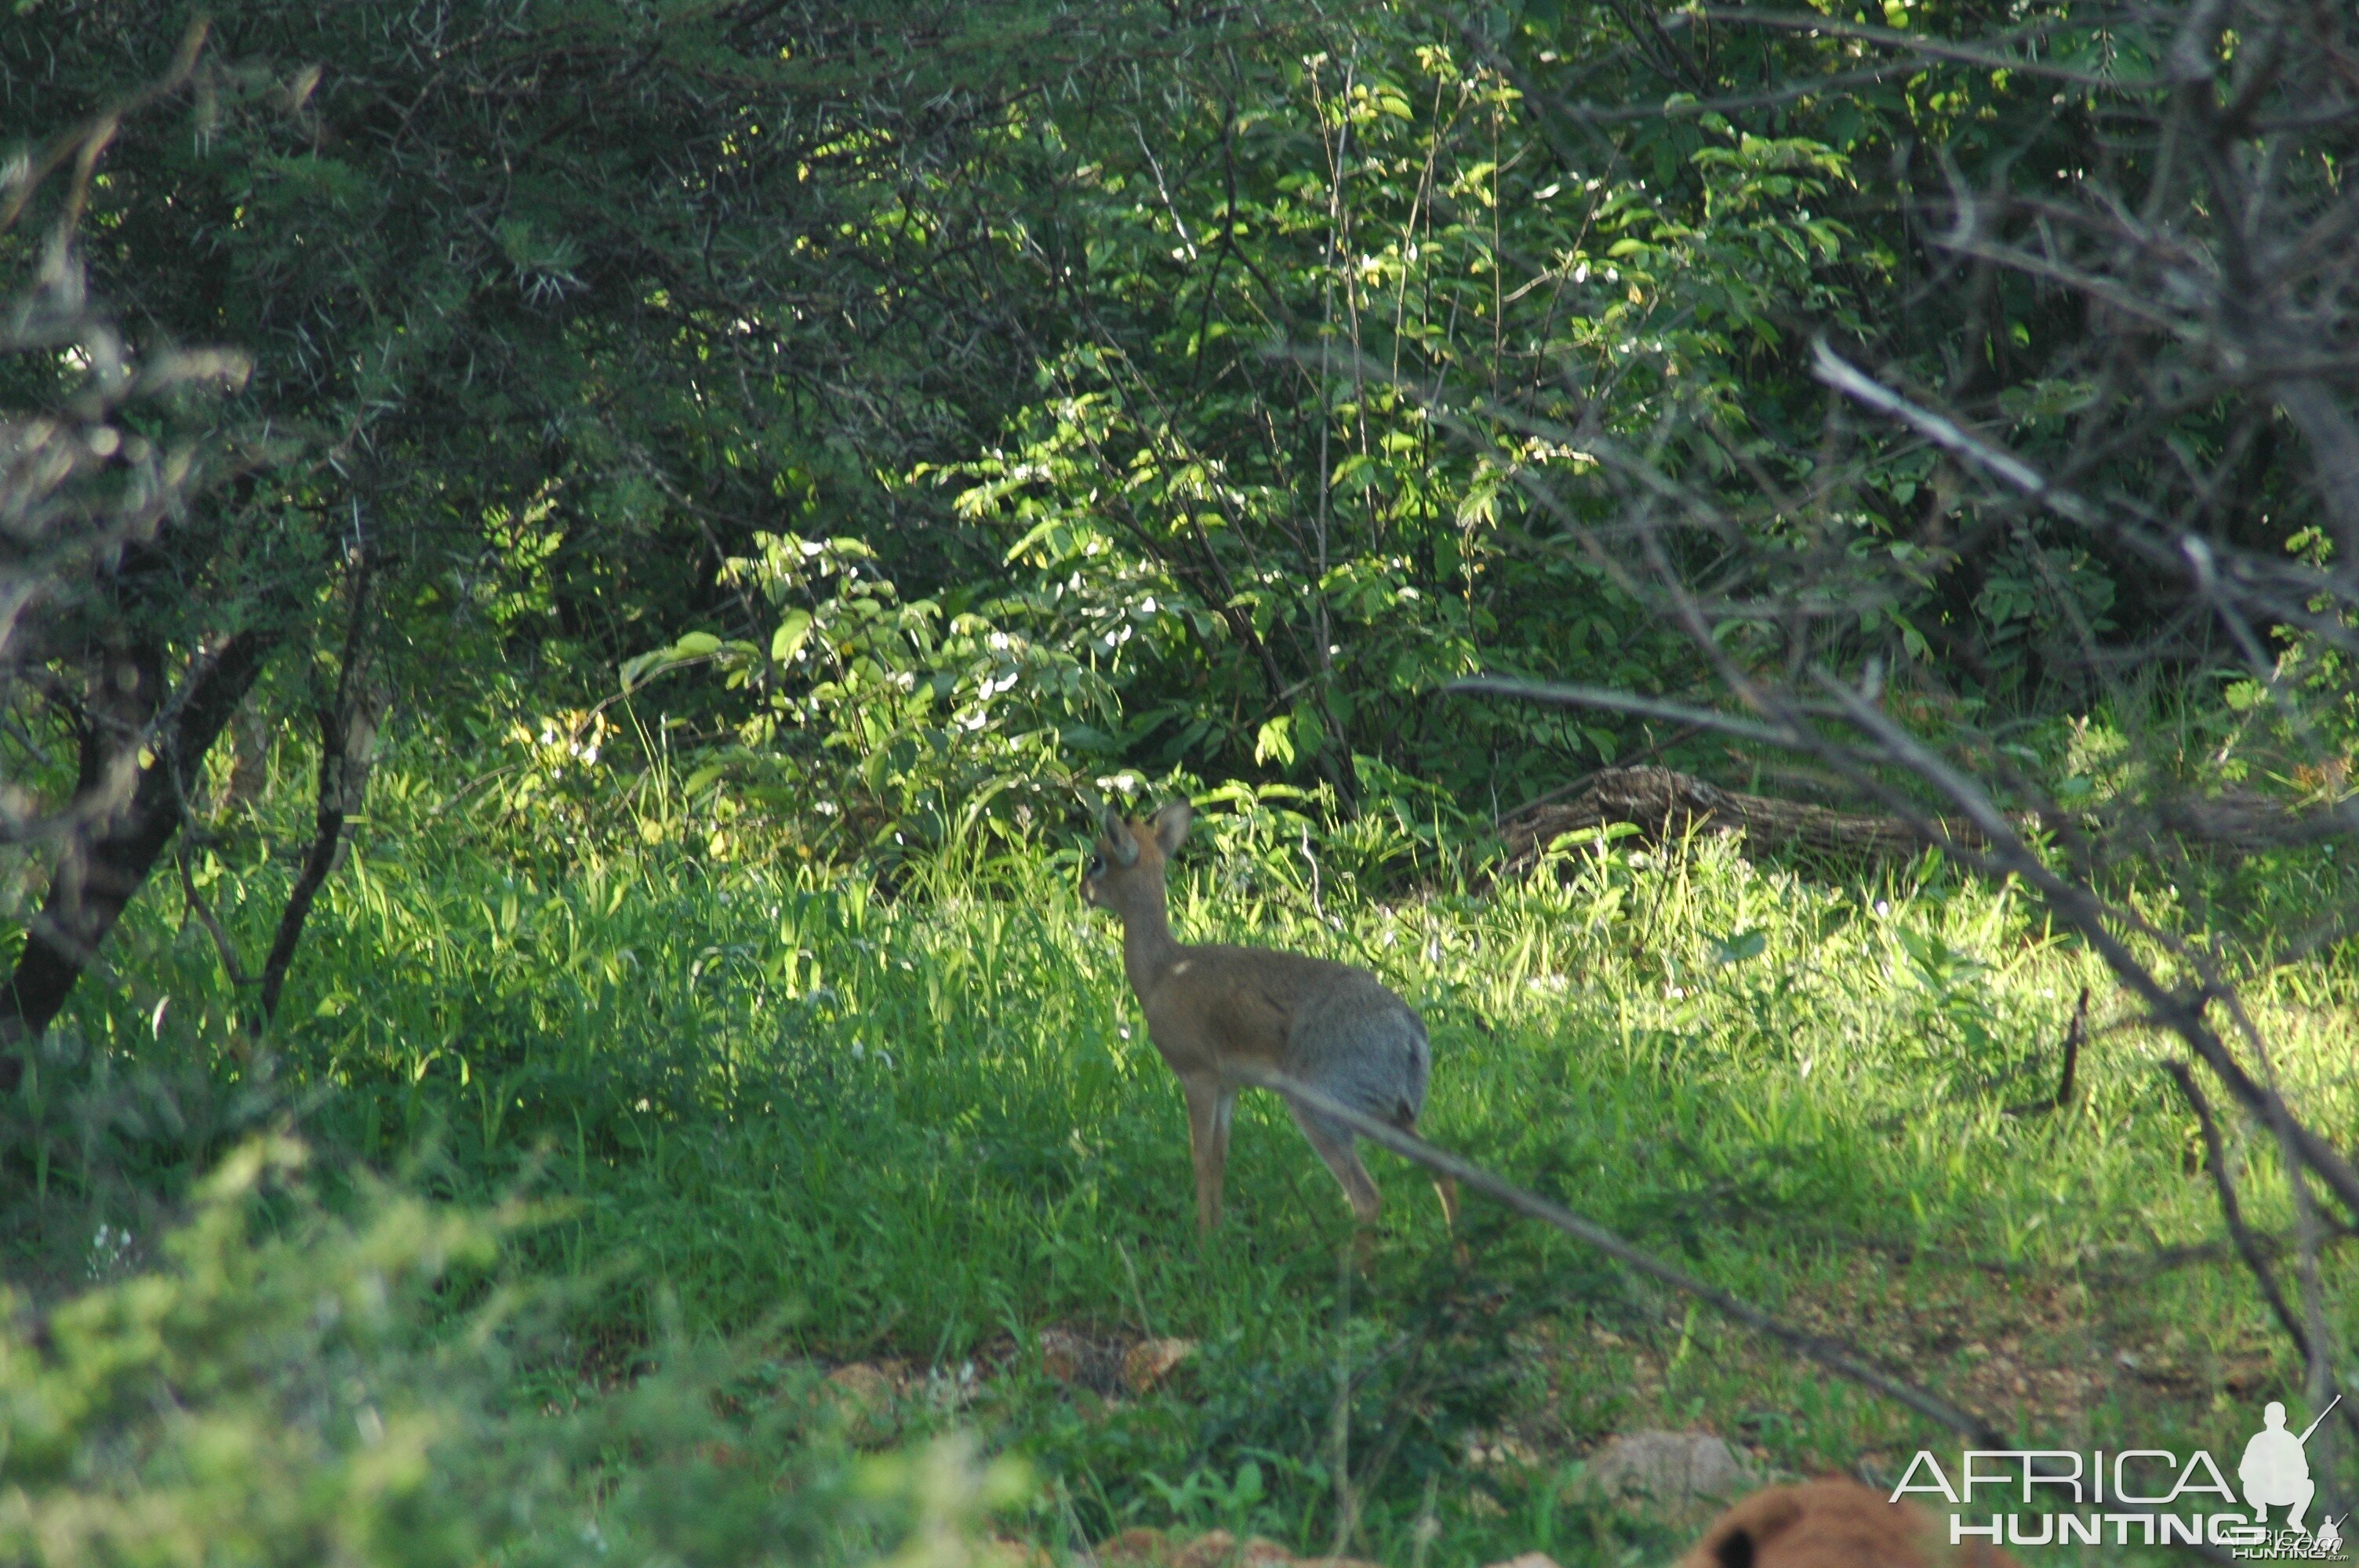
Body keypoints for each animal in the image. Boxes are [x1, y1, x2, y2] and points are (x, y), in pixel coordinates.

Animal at [1080, 801, 1452, 1244]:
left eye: (1098, 859)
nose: (1083, 891)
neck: (1162, 972)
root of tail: (1410, 1032)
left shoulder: (1198, 1075)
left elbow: (1200, 1157)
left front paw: (1204, 1242)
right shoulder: (1229, 1085)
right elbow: (1220, 1156)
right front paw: (1217, 1233)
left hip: (1323, 1108)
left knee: (1367, 1196)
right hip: (1389, 1112)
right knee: (1442, 1169)